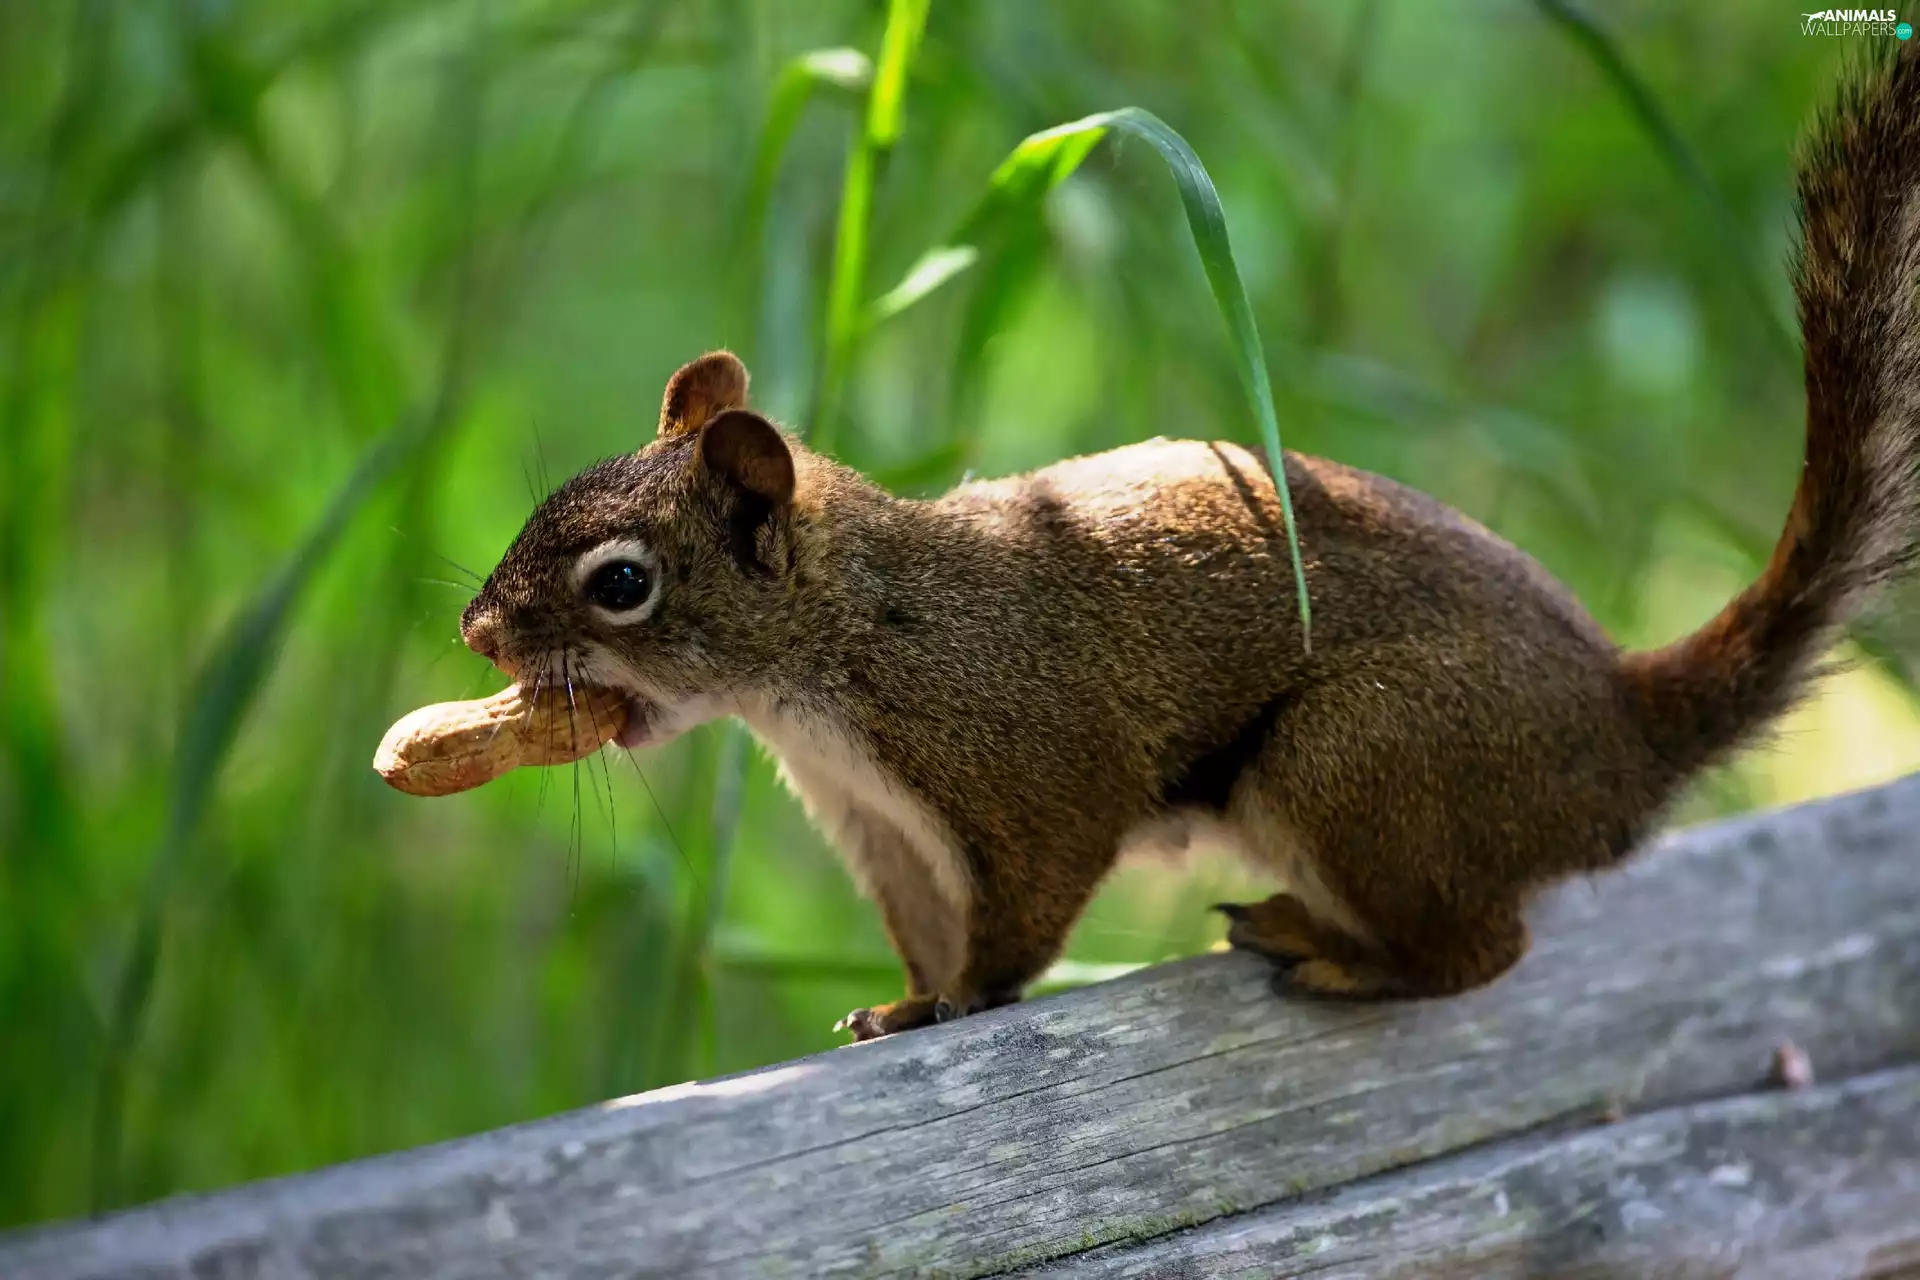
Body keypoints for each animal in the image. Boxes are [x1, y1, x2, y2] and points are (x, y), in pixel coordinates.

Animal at [459, 46, 1920, 1040]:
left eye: (622, 582)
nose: (476, 630)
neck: (835, 648)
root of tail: (1622, 731)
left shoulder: (1025, 760)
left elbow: (1025, 907)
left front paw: (963, 1004)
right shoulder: (881, 828)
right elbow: (926, 934)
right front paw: (903, 1008)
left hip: (1361, 759)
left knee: (1484, 947)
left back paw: (1340, 953)